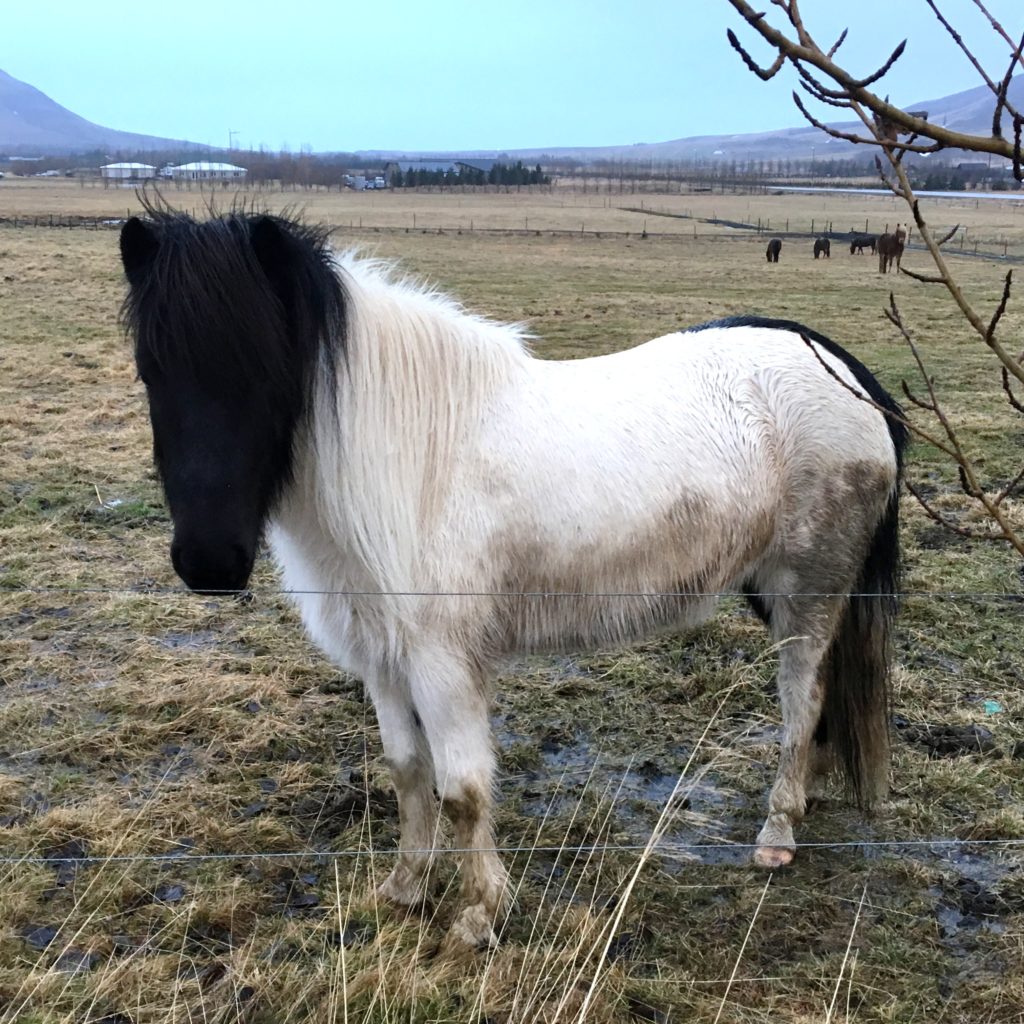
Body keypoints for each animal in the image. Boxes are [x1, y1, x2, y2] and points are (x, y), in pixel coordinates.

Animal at [117, 205, 905, 950]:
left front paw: (478, 917)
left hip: (807, 593)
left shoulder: (443, 664)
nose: (208, 562)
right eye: (151, 372)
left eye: (265, 373)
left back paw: (777, 833)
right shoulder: (382, 659)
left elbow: (463, 790)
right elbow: (406, 771)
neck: (413, 460)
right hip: (771, 590)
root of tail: (843, 369)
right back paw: (812, 794)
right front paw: (404, 889)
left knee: (803, 699)